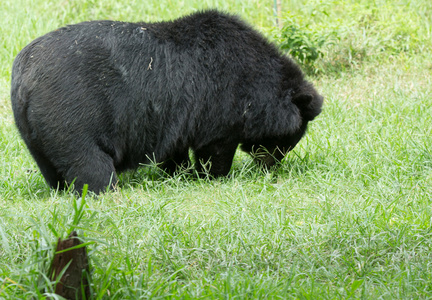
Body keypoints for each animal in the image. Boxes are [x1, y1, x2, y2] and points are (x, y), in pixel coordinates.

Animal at [10, 9, 322, 195]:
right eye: (288, 141)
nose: (271, 166)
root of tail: (24, 74)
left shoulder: (177, 116)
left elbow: (175, 148)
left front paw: (178, 173)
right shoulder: (220, 103)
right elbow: (214, 149)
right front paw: (213, 176)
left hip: (33, 130)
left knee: (51, 167)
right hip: (71, 116)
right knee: (89, 161)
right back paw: (106, 190)